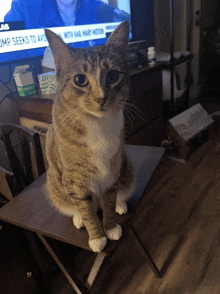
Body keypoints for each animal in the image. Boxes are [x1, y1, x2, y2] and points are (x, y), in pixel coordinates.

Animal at [45, 21, 136, 253]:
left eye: (113, 76)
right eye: (80, 80)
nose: (101, 98)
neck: (96, 123)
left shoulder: (112, 171)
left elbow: (110, 202)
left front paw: (110, 227)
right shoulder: (74, 180)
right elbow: (87, 212)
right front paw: (97, 237)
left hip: (126, 166)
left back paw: (120, 204)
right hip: (55, 183)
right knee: (78, 208)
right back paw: (79, 218)